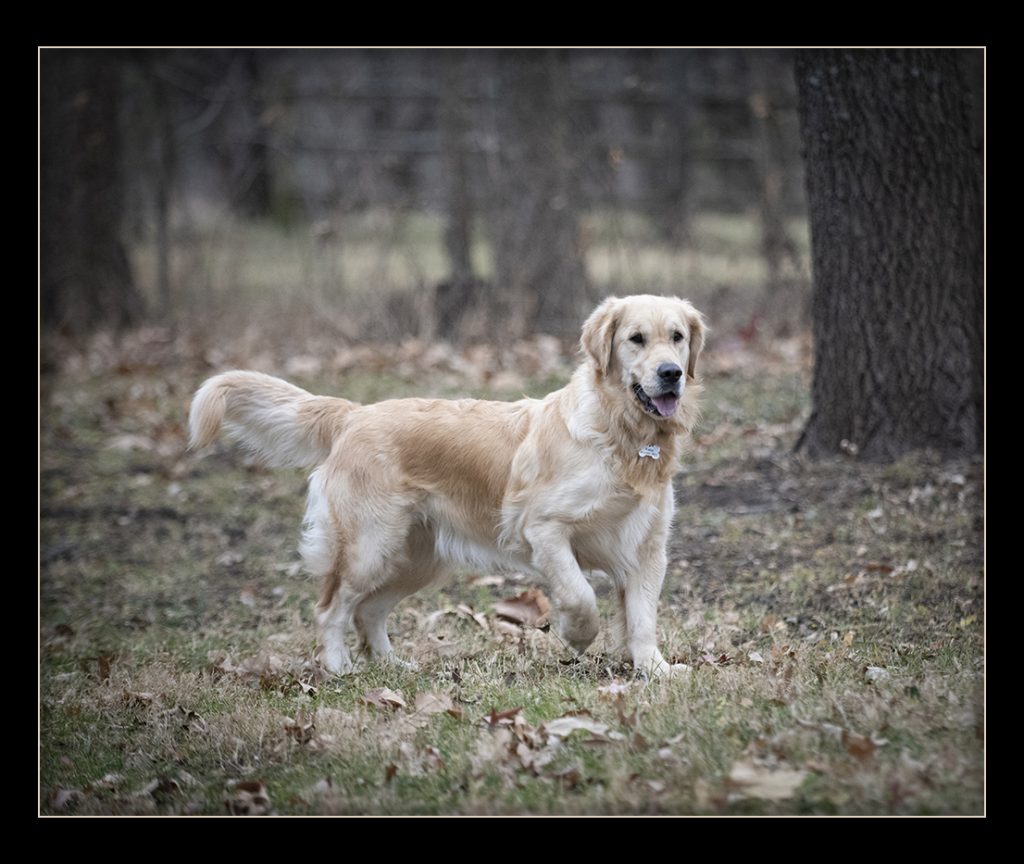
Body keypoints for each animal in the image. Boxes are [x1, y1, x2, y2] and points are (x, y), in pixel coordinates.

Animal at [190, 292, 704, 679]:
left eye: (677, 338)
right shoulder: (544, 528)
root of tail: (355, 414)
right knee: (333, 607)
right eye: (636, 339)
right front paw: (577, 634)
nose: (671, 373)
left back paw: (394, 666)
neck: (624, 436)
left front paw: (655, 670)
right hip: (368, 547)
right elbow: (580, 595)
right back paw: (339, 667)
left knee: (368, 611)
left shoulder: (648, 548)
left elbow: (642, 618)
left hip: (417, 558)